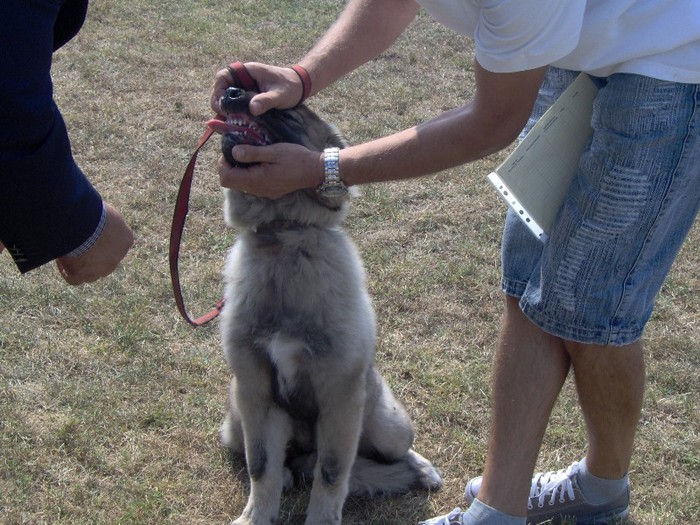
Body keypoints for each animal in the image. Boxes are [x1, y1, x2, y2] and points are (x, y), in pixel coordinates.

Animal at [208, 88, 440, 520]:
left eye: (286, 112)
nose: (230, 92)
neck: (283, 237)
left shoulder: (339, 398)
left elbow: (331, 474)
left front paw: (320, 517)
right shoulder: (256, 391)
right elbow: (260, 466)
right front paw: (255, 516)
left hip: (389, 424)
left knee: (390, 451)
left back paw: (421, 468)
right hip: (234, 422)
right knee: (279, 460)